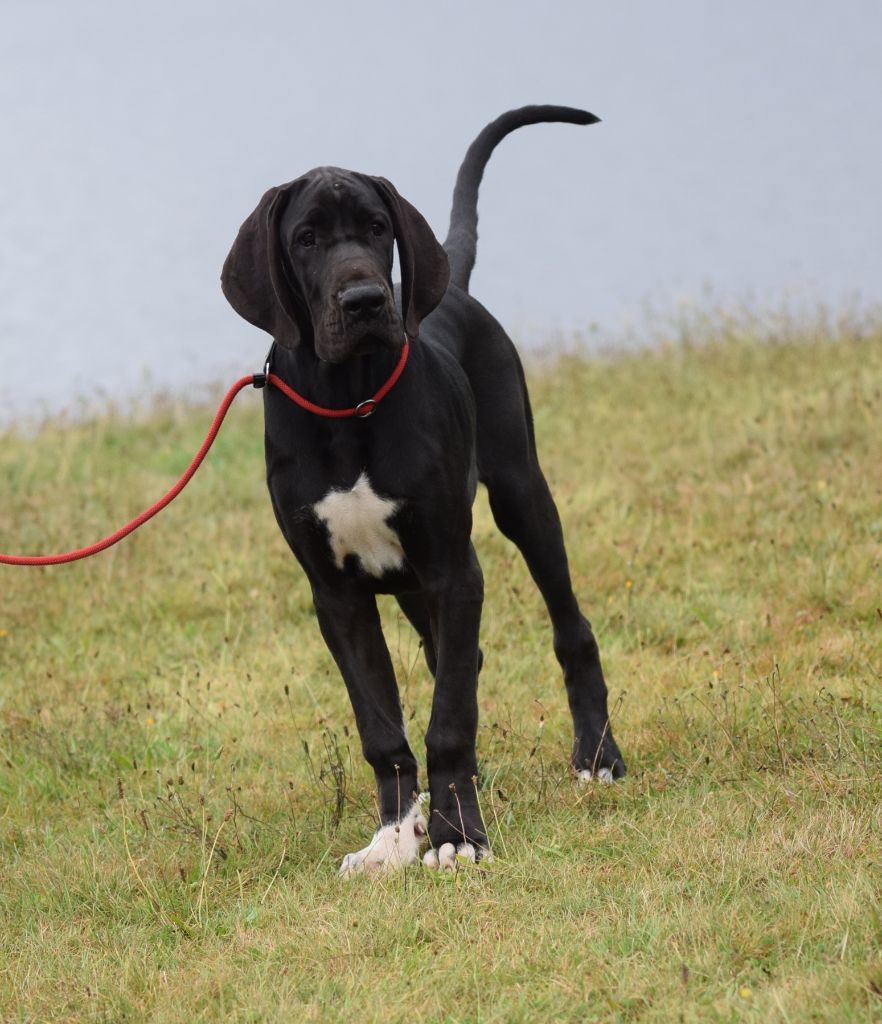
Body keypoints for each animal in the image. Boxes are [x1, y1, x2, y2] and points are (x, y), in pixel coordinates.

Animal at [223, 101, 622, 872]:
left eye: (378, 227)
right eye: (306, 239)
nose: (365, 299)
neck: (347, 402)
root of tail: (456, 289)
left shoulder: (453, 569)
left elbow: (449, 719)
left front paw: (457, 835)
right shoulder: (337, 595)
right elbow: (384, 726)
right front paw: (395, 835)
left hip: (521, 496)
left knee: (569, 631)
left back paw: (595, 755)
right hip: (408, 584)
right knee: (456, 661)